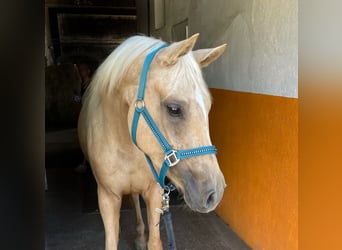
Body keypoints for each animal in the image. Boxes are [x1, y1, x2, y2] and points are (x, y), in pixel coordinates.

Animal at [77, 33, 227, 250]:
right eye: (174, 109)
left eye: (208, 106)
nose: (214, 194)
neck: (126, 146)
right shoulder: (107, 198)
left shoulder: (155, 192)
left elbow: (154, 242)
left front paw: (143, 238)